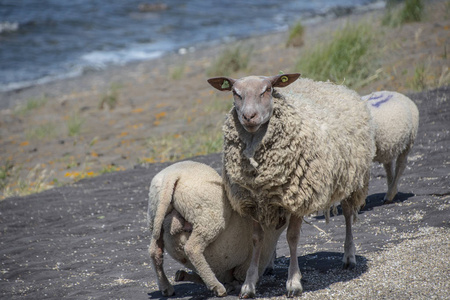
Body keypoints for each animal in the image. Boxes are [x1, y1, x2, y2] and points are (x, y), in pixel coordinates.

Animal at [149, 161, 288, 296]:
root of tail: (172, 175)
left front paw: (183, 276)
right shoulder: (257, 257)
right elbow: (242, 276)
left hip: (155, 218)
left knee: (155, 252)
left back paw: (166, 287)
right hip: (208, 219)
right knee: (192, 248)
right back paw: (217, 287)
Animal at [208, 75, 376, 298]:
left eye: (267, 90)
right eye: (235, 93)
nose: (249, 116)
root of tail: (332, 84)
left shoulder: (298, 197)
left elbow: (293, 238)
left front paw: (293, 282)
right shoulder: (253, 202)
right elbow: (256, 239)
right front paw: (249, 284)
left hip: (353, 178)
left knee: (348, 213)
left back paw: (349, 256)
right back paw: (270, 264)